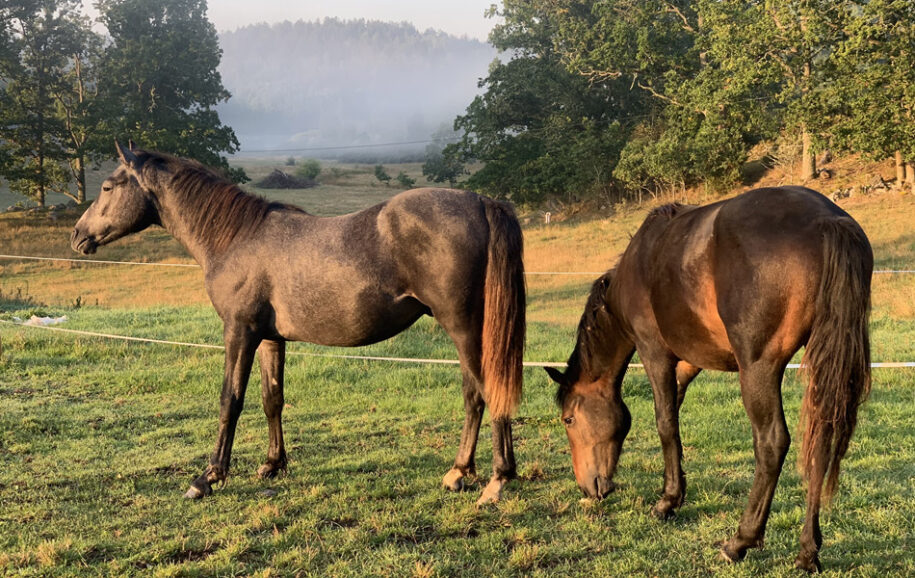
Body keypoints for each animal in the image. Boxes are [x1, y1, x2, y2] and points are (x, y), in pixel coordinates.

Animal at [71, 142, 524, 502]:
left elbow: (230, 400)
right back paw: (459, 472)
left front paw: (208, 477)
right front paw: (273, 464)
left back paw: (497, 480)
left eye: (108, 187)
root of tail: (483, 202)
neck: (237, 237)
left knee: (487, 391)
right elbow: (272, 399)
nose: (77, 236)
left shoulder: (239, 332)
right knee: (474, 395)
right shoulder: (270, 338)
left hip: (463, 328)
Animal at [544, 187, 872, 568]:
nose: (588, 487)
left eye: (568, 419)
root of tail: (826, 219)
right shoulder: (688, 363)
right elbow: (675, 417)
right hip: (823, 364)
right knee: (820, 442)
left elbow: (665, 424)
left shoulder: (655, 354)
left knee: (772, 444)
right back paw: (808, 552)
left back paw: (740, 541)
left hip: (758, 369)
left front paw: (666, 502)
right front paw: (676, 492)